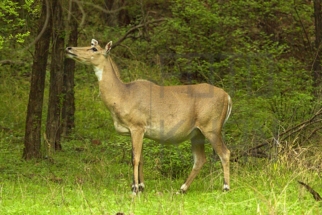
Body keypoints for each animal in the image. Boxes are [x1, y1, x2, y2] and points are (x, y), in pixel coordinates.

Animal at [66, 39, 231, 195]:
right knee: (200, 159)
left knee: (225, 152)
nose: (69, 48)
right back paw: (181, 189)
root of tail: (228, 97)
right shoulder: (137, 131)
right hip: (197, 133)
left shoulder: (137, 126)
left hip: (211, 126)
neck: (122, 96)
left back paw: (225, 187)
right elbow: (140, 158)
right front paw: (141, 186)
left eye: (94, 48)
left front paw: (134, 189)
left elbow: (135, 158)